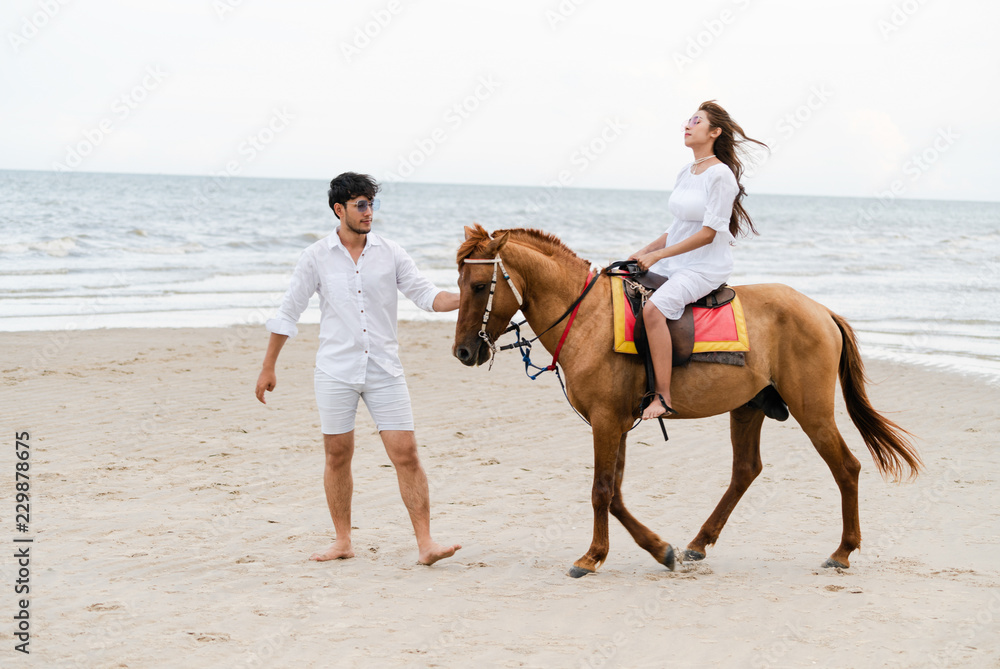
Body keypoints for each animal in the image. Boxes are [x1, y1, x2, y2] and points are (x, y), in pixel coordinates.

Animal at [454, 226, 920, 580]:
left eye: (478, 286)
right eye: (459, 285)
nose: (462, 351)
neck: (588, 319)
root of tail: (821, 311)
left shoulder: (606, 421)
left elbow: (601, 490)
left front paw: (592, 556)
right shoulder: (618, 424)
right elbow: (616, 493)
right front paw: (661, 549)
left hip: (813, 412)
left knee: (846, 467)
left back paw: (842, 550)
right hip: (749, 408)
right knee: (745, 471)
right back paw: (699, 542)